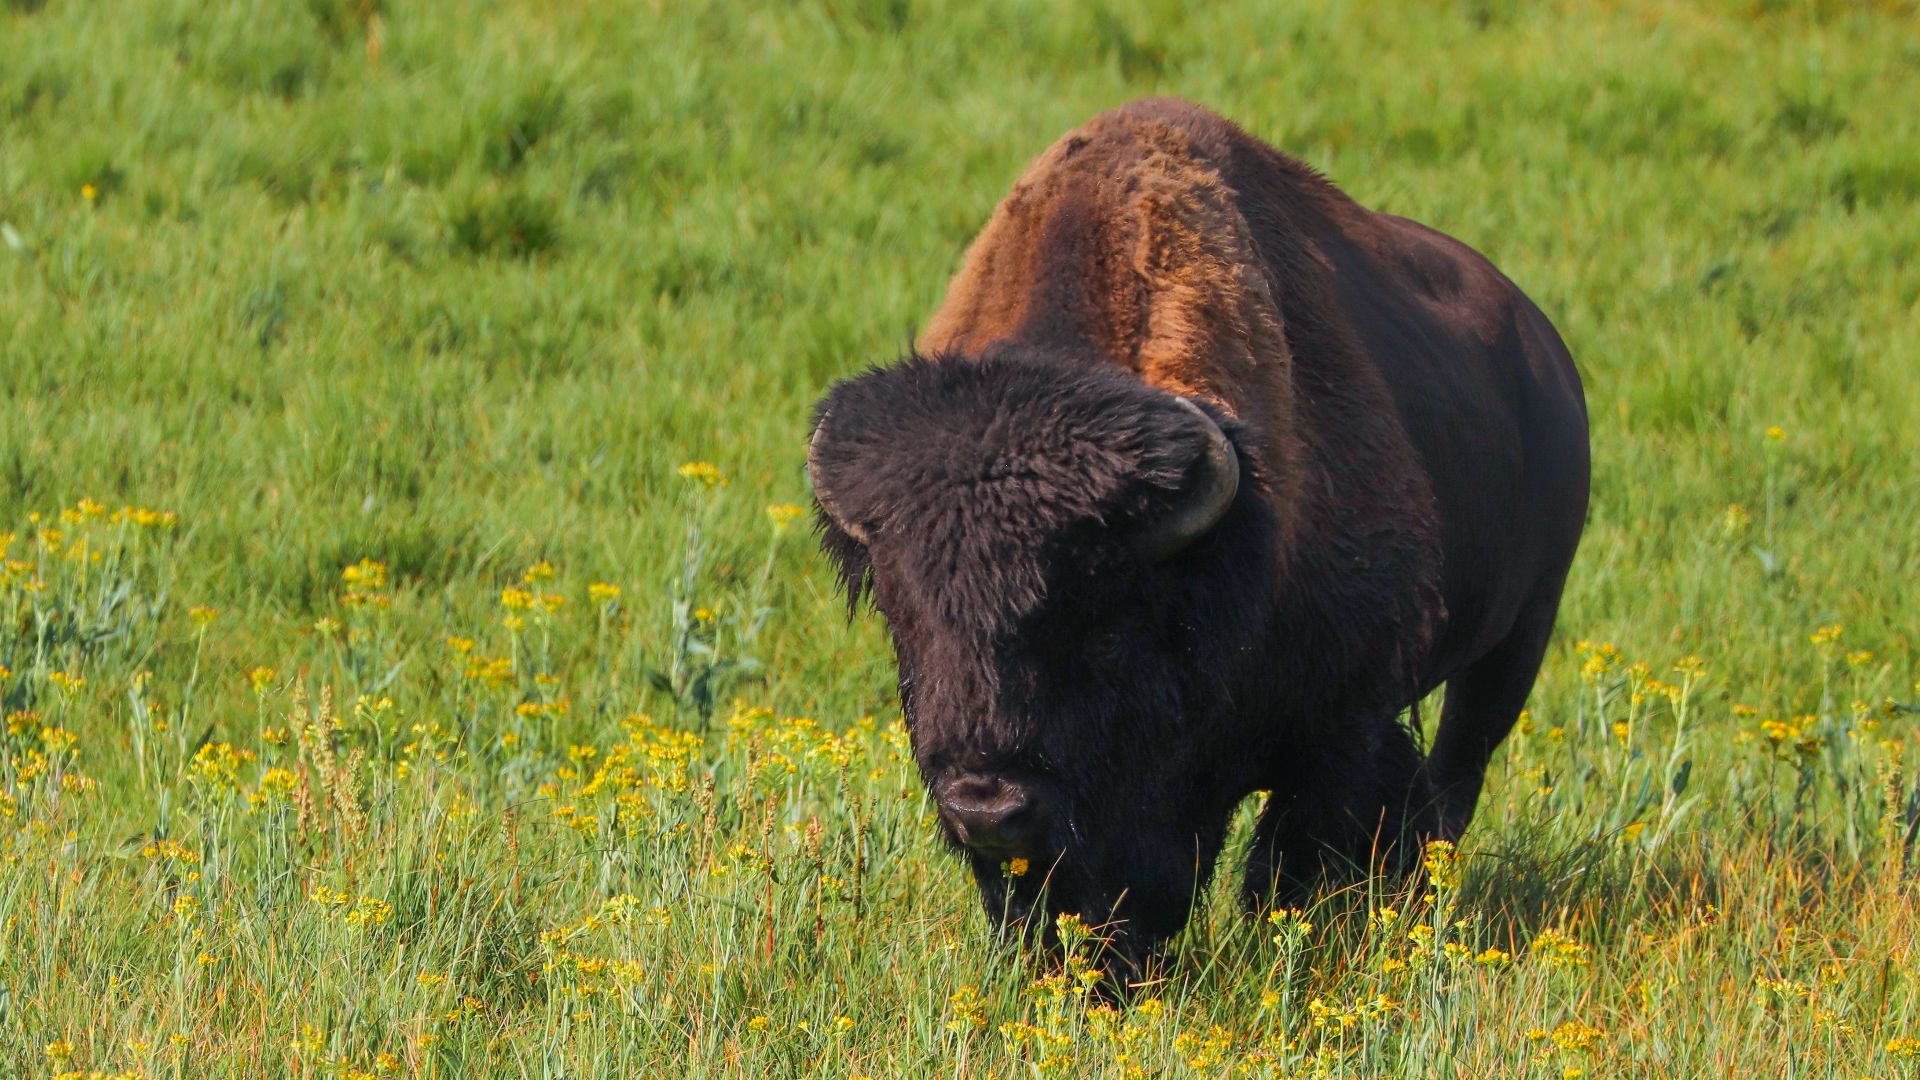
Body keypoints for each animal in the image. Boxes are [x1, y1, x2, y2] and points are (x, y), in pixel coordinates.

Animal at [807, 98, 1589, 975]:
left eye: (1106, 623)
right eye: (902, 617)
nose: (988, 806)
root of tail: (1545, 351)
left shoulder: (1336, 728)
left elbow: (1288, 858)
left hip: (1517, 641)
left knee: (1454, 780)